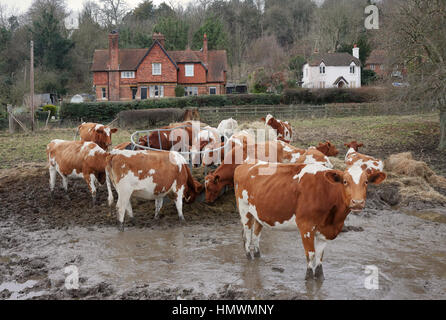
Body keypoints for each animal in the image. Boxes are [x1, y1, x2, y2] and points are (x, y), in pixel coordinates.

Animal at [235, 162, 386, 280]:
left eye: (366, 182)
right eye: (345, 182)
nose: (358, 202)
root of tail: (244, 165)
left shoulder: (325, 231)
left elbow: (319, 256)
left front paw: (320, 277)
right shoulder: (306, 226)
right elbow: (311, 254)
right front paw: (308, 277)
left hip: (259, 213)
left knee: (256, 234)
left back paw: (258, 255)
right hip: (244, 210)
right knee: (246, 235)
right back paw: (249, 257)